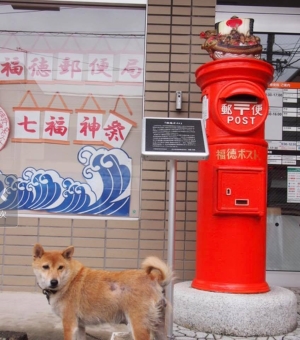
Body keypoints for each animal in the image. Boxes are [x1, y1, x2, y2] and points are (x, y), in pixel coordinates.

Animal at [31, 244, 172, 340]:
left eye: (60, 267)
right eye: (45, 267)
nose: (54, 282)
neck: (69, 281)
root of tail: (154, 278)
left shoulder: (69, 324)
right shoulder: (80, 326)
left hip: (139, 327)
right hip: (159, 328)